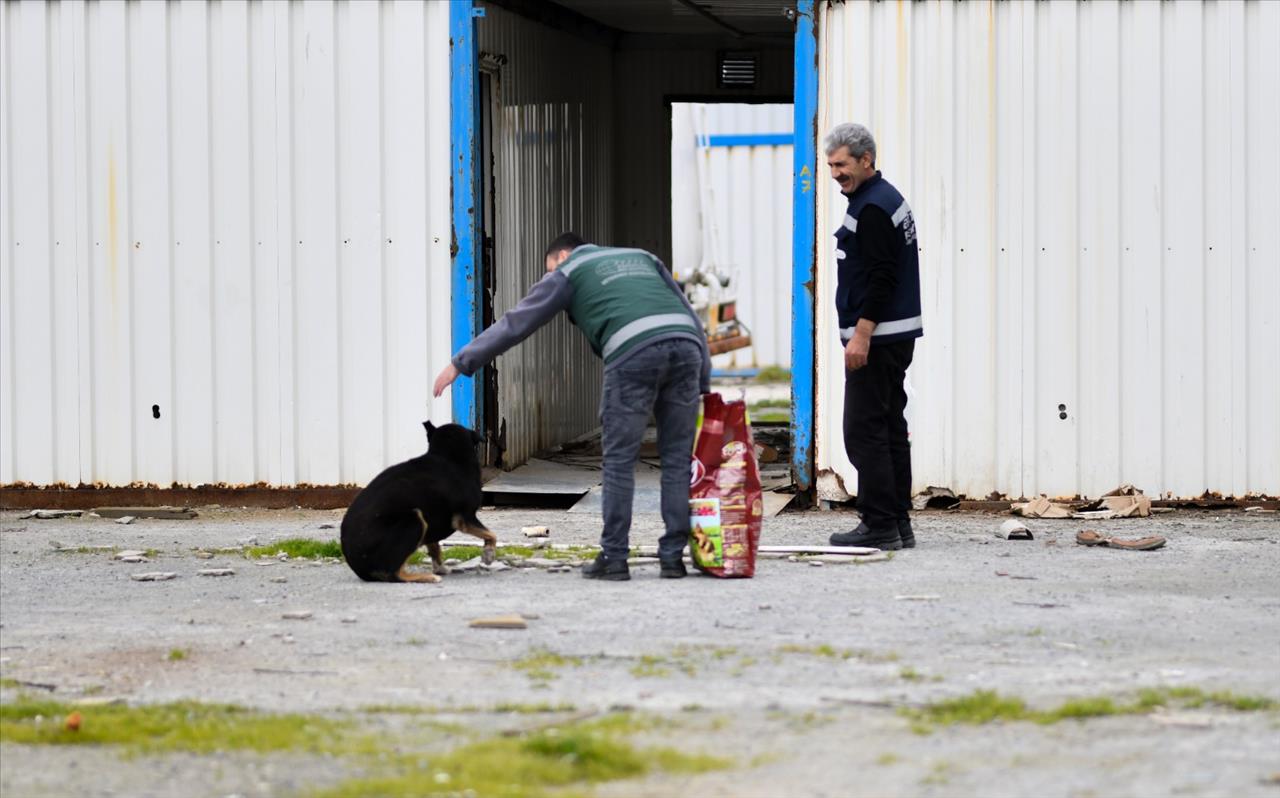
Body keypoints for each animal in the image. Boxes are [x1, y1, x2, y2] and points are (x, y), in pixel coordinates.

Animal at [340, 422, 494, 584]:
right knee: (393, 573)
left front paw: (440, 567)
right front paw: (489, 554)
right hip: (414, 520)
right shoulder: (465, 518)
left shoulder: (432, 521)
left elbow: (435, 548)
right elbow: (491, 534)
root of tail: (359, 568)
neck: (446, 456)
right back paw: (425, 577)